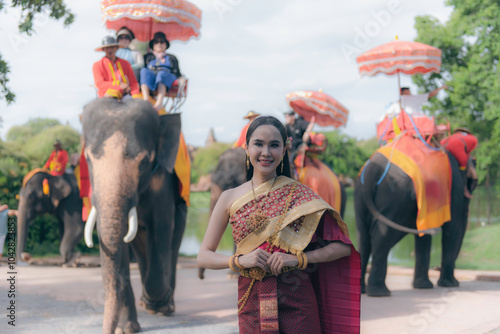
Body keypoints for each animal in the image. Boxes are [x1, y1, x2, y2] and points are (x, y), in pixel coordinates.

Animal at [82, 97, 188, 334]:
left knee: (173, 242)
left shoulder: (162, 179)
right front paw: (127, 329)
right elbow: (119, 247)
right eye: (88, 159)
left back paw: (163, 305)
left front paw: (154, 301)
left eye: (145, 160)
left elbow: (161, 227)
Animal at [354, 150, 474, 296]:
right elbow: (452, 229)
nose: (436, 268)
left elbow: (425, 235)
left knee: (363, 239)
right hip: (395, 199)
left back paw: (363, 291)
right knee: (381, 238)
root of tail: (371, 170)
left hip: (360, 199)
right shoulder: (453, 188)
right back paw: (380, 292)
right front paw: (450, 284)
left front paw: (423, 286)